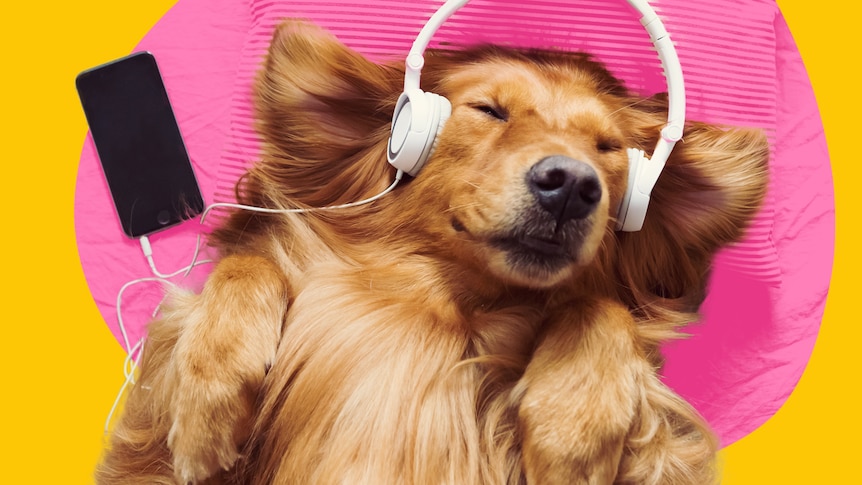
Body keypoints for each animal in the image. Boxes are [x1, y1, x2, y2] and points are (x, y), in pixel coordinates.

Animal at [94, 19, 768, 484]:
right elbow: (246, 263)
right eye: (489, 111)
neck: (446, 310)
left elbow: (603, 307)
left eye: (606, 149)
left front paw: (572, 434)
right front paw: (206, 409)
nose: (573, 186)